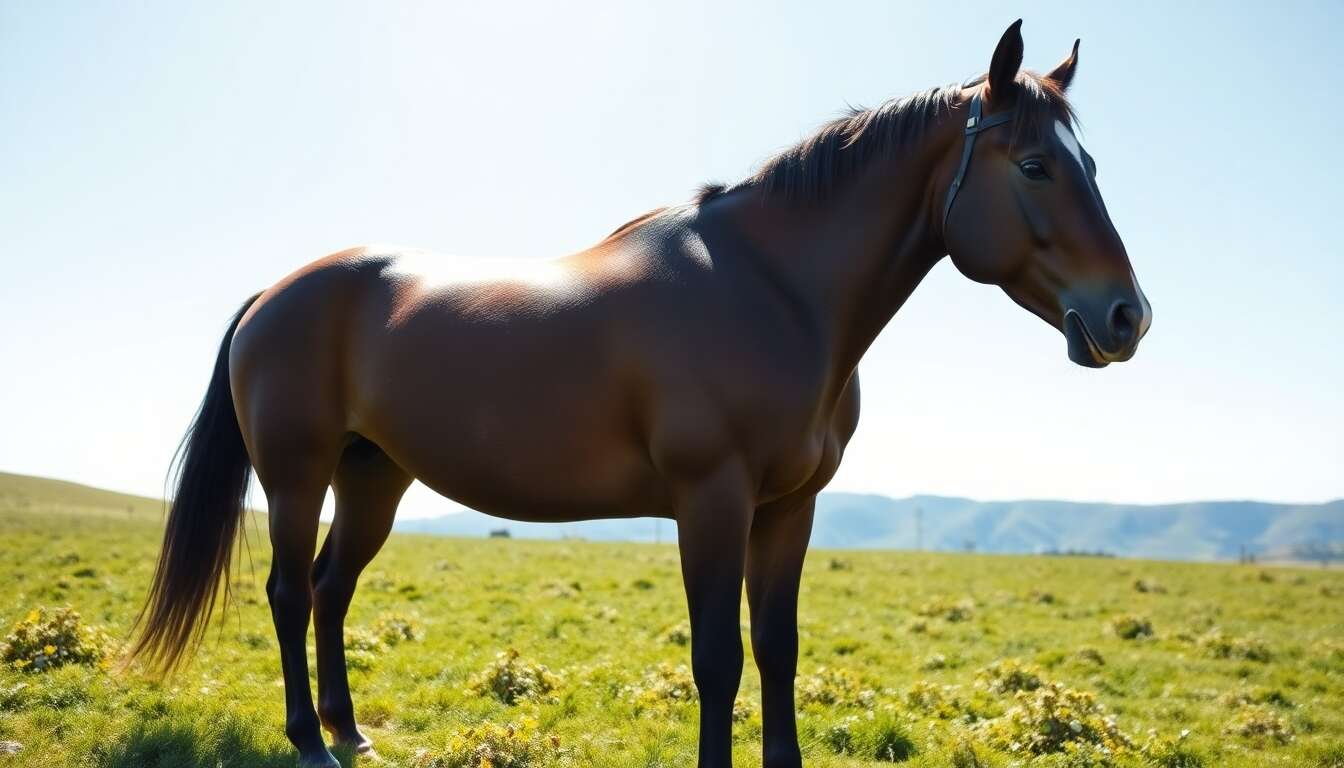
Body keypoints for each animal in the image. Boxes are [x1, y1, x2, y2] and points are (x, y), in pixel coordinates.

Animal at [130, 20, 1150, 768]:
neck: (775, 289)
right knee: (289, 593)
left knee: (333, 589)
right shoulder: (711, 500)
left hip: (373, 475)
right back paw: (310, 742)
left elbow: (776, 649)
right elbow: (718, 660)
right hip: (297, 474)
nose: (1127, 316)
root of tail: (275, 293)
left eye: (1094, 166)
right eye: (1034, 166)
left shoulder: (790, 509)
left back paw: (351, 731)